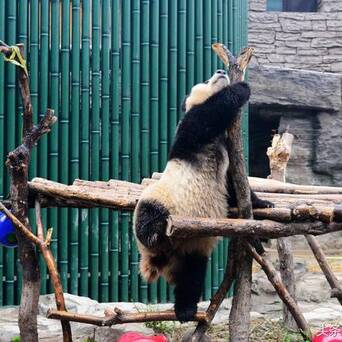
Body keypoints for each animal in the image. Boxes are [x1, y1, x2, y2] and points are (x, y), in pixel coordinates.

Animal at [134, 69, 272, 320]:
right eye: (206, 79)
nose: (221, 71)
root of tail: (163, 256)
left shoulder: (226, 158)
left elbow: (234, 187)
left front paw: (263, 204)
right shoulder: (190, 131)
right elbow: (209, 114)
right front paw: (242, 87)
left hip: (192, 247)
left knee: (192, 275)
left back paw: (186, 309)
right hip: (158, 201)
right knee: (147, 220)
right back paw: (155, 233)